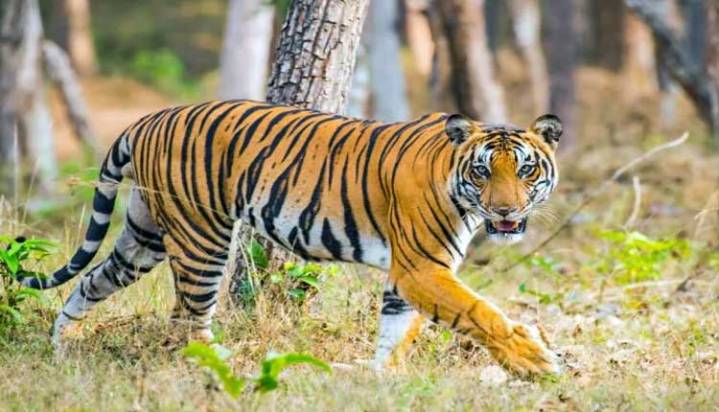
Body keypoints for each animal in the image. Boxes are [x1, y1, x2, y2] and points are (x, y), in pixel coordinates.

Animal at [20, 100, 563, 376]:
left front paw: (378, 381)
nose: (506, 210)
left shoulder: (408, 274)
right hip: (203, 236)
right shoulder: (421, 267)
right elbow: (479, 312)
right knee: (187, 320)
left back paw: (62, 346)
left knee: (91, 281)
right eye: (483, 171)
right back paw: (224, 368)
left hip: (144, 235)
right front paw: (536, 361)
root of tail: (147, 118)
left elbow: (395, 332)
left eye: (526, 170)